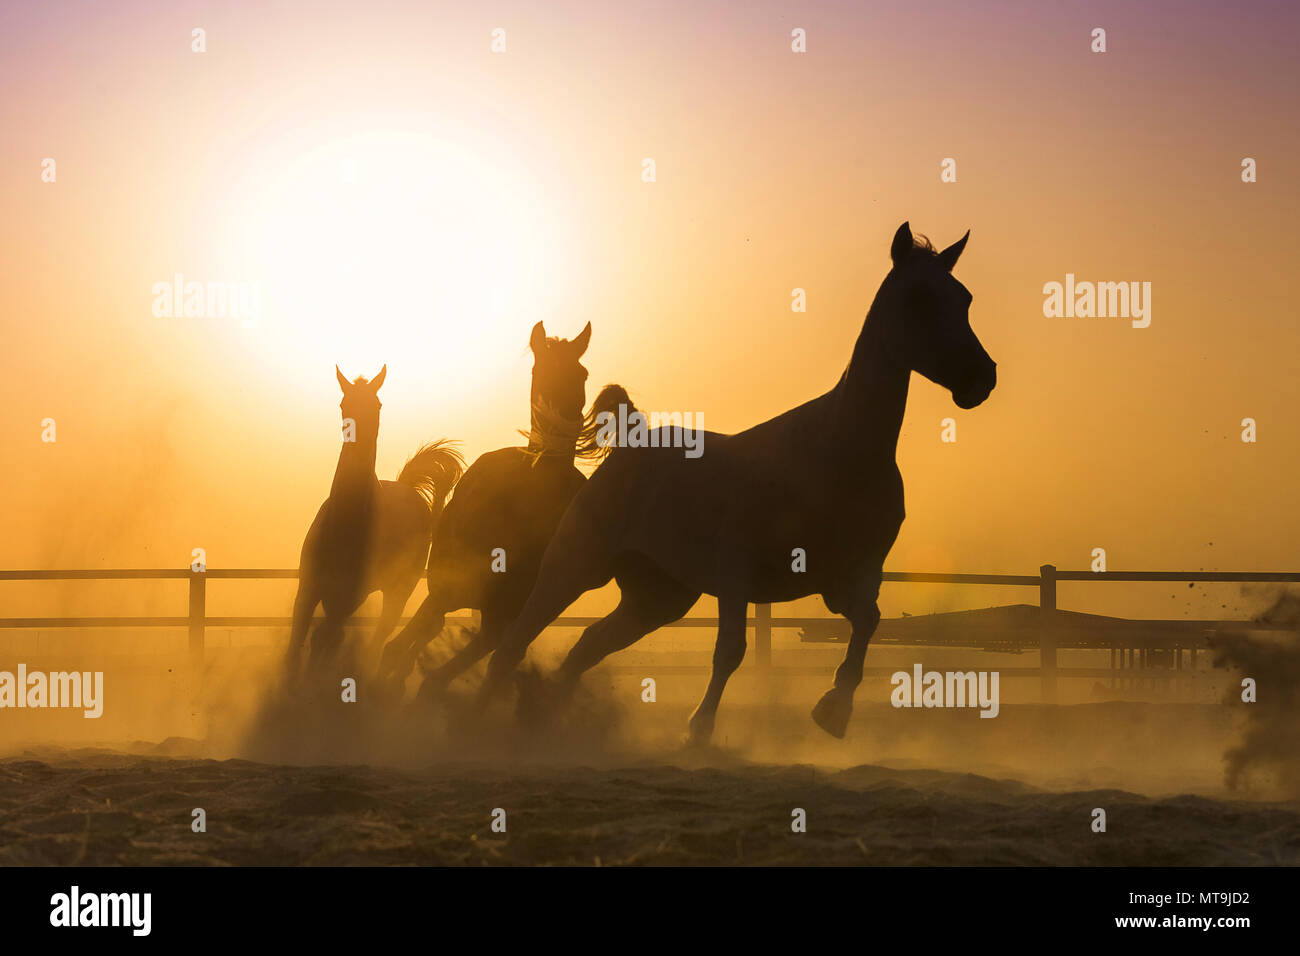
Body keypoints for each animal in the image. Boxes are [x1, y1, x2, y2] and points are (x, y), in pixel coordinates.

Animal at [289, 366, 467, 671]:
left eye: (378, 404)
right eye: (343, 404)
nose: (357, 435)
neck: (344, 525)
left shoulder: (349, 597)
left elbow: (325, 639)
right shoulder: (309, 589)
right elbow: (297, 643)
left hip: (398, 592)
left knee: (381, 632)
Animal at [374, 321, 631, 697]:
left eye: (581, 373)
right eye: (541, 369)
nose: (562, 425)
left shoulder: (510, 610)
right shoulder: (447, 588)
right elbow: (407, 644)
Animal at [478, 226, 993, 749]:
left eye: (964, 298)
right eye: (918, 297)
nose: (981, 378)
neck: (836, 454)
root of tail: (630, 442)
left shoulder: (850, 579)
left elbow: (869, 621)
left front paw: (833, 710)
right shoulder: (735, 575)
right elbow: (731, 651)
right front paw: (699, 729)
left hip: (655, 600)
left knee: (585, 647)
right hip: (575, 568)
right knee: (513, 643)